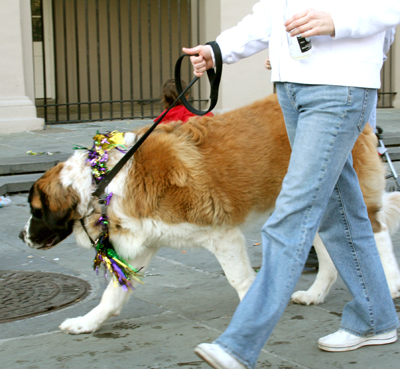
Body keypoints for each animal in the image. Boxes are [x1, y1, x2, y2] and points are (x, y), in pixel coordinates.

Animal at [19, 94, 400, 334]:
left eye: (35, 211)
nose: (21, 235)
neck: (108, 179)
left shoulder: (221, 234)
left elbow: (240, 281)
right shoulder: (143, 243)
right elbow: (113, 294)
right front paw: (88, 322)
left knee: (377, 233)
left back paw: (392, 285)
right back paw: (316, 293)